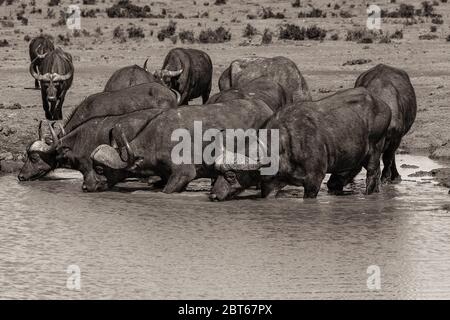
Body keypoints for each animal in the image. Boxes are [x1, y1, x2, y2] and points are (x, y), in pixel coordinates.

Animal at [209, 87, 392, 200]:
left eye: (231, 176)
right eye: (217, 173)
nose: (213, 195)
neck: (284, 146)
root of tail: (384, 106)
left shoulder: (313, 180)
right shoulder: (271, 184)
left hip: (375, 150)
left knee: (373, 174)